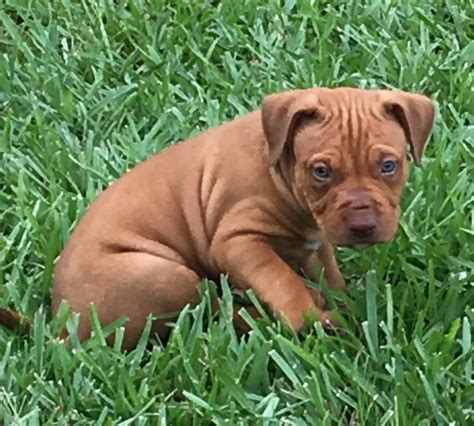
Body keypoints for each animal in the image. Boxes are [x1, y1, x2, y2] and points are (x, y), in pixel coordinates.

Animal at [1, 87, 436, 350]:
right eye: (321, 172)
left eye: (389, 166)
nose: (363, 226)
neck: (280, 169)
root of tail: (59, 329)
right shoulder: (238, 241)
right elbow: (282, 281)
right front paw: (311, 318)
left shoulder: (316, 241)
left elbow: (329, 274)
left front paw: (343, 302)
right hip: (167, 276)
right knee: (206, 316)